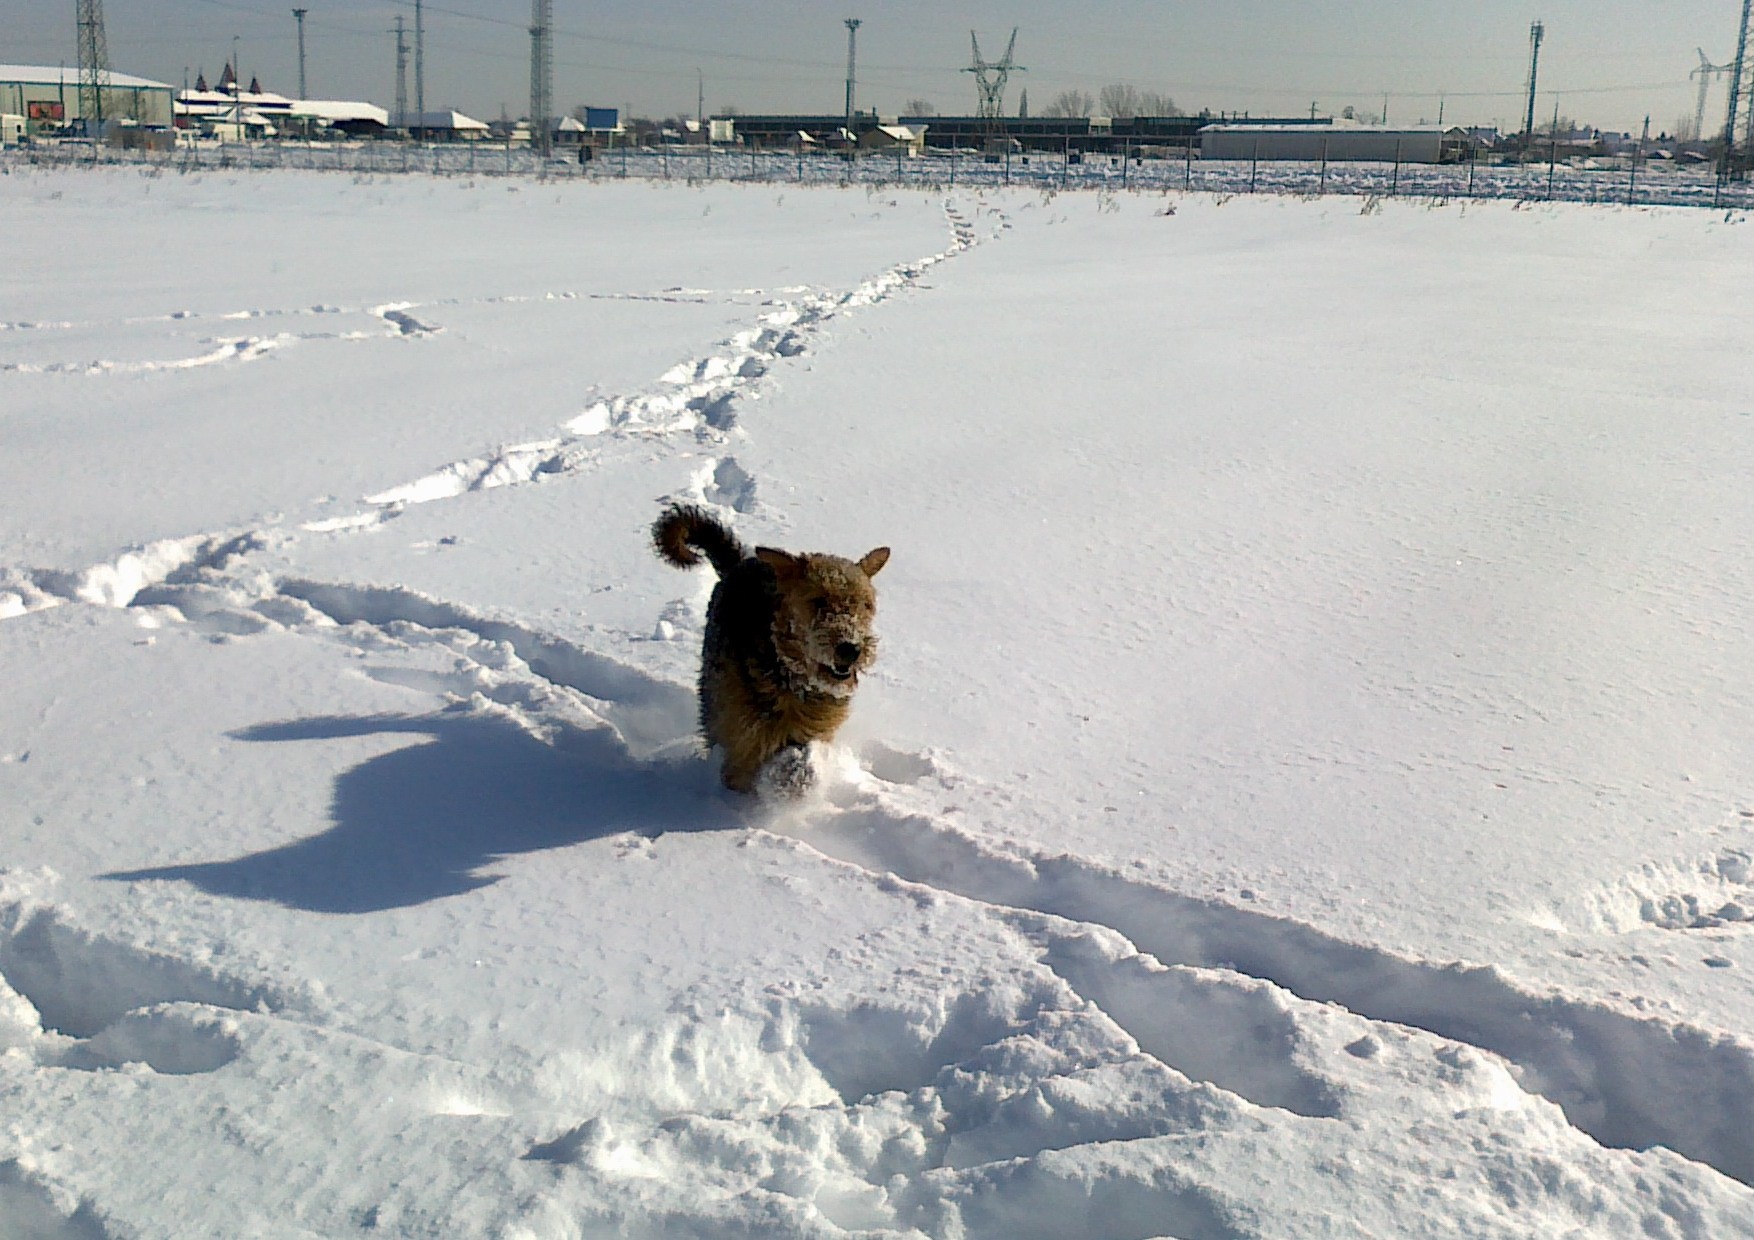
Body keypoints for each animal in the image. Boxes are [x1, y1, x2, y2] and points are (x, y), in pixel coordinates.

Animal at [655, 505, 891, 796]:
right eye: (818, 600)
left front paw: (799, 775)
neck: (791, 676)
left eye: (866, 605)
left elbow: (803, 755)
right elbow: (744, 768)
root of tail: (741, 564)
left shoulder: (815, 729)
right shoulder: (744, 736)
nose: (851, 648)